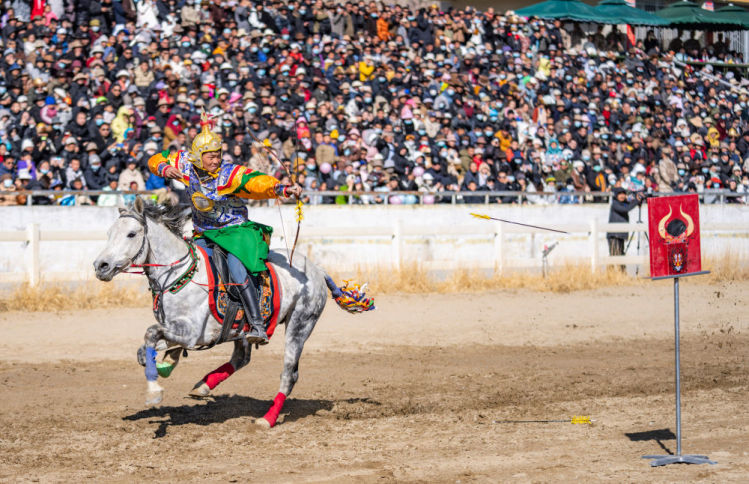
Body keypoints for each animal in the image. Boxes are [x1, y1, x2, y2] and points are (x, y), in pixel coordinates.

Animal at [93, 198, 373, 428]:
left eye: (131, 234)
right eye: (109, 233)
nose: (100, 265)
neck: (181, 275)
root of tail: (317, 269)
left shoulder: (194, 334)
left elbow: (150, 335)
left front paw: (154, 390)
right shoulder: (175, 330)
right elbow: (146, 348)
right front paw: (165, 365)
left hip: (300, 325)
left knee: (288, 374)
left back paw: (267, 419)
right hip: (242, 331)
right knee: (241, 358)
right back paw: (203, 386)